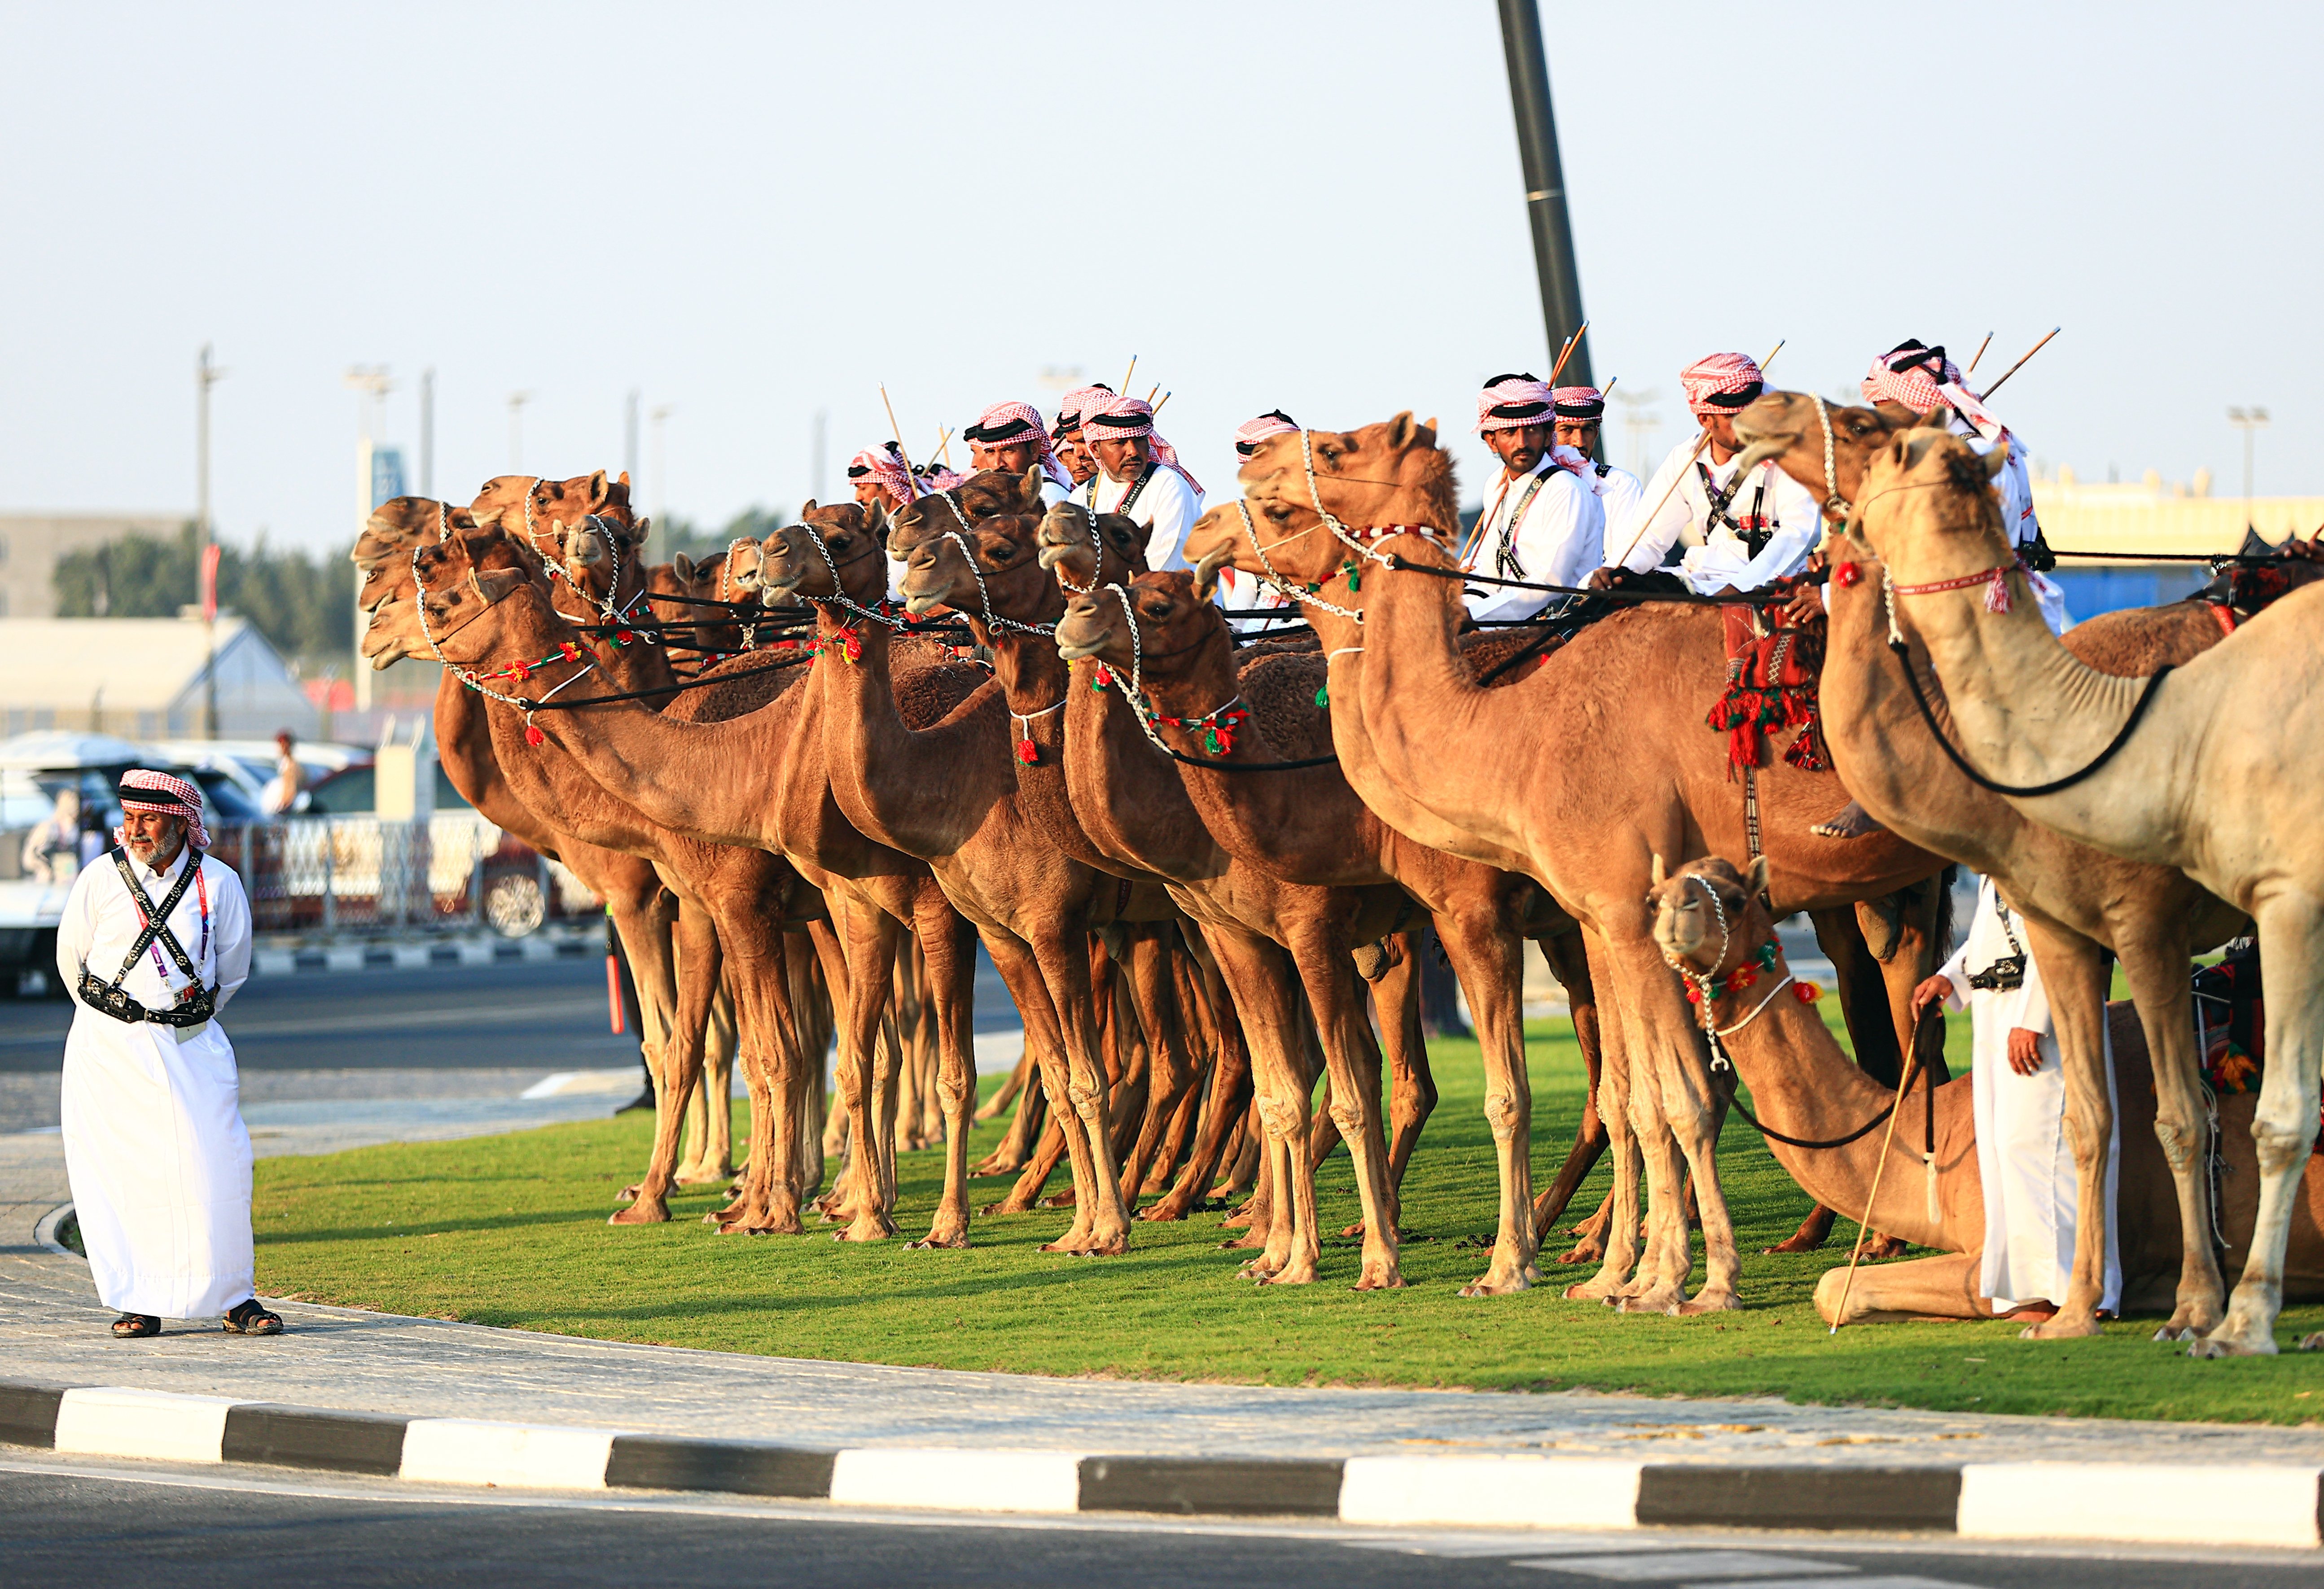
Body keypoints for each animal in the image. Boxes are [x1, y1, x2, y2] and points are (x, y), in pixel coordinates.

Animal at [887, 516, 1413, 1282]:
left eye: (1003, 542)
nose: (914, 563)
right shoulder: (1021, 928)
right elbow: (1071, 1070)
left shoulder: (1060, 921)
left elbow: (1094, 1073)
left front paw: (1103, 1226)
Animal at [1050, 527, 1617, 1301]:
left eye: (1156, 601)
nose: (1075, 619)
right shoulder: (1237, 933)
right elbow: (1282, 1092)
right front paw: (1276, 1253)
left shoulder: (1333, 923)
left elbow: (1357, 1093)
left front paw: (1362, 1260)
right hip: (1561, 926)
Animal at [1218, 418, 1961, 1319]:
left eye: (1327, 454)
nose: (1221, 511)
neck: (1511, 733)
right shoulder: (1597, 918)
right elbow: (1632, 1095)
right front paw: (1622, 1273)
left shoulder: (1547, 911)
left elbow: (1640, 1094)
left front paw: (1660, 1278)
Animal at [1654, 855, 2324, 1329]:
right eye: (1660, 891)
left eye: (1734, 897)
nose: (1671, 912)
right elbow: (1837, 1288)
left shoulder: (1990, 1248)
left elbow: (1834, 1286)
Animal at [1738, 385, 2324, 1338]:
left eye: (1868, 427)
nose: (1758, 406)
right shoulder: (2063, 926)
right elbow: (2090, 1116)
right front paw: (2076, 1309)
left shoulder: (2148, 921)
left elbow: (2181, 1115)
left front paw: (2190, 1306)